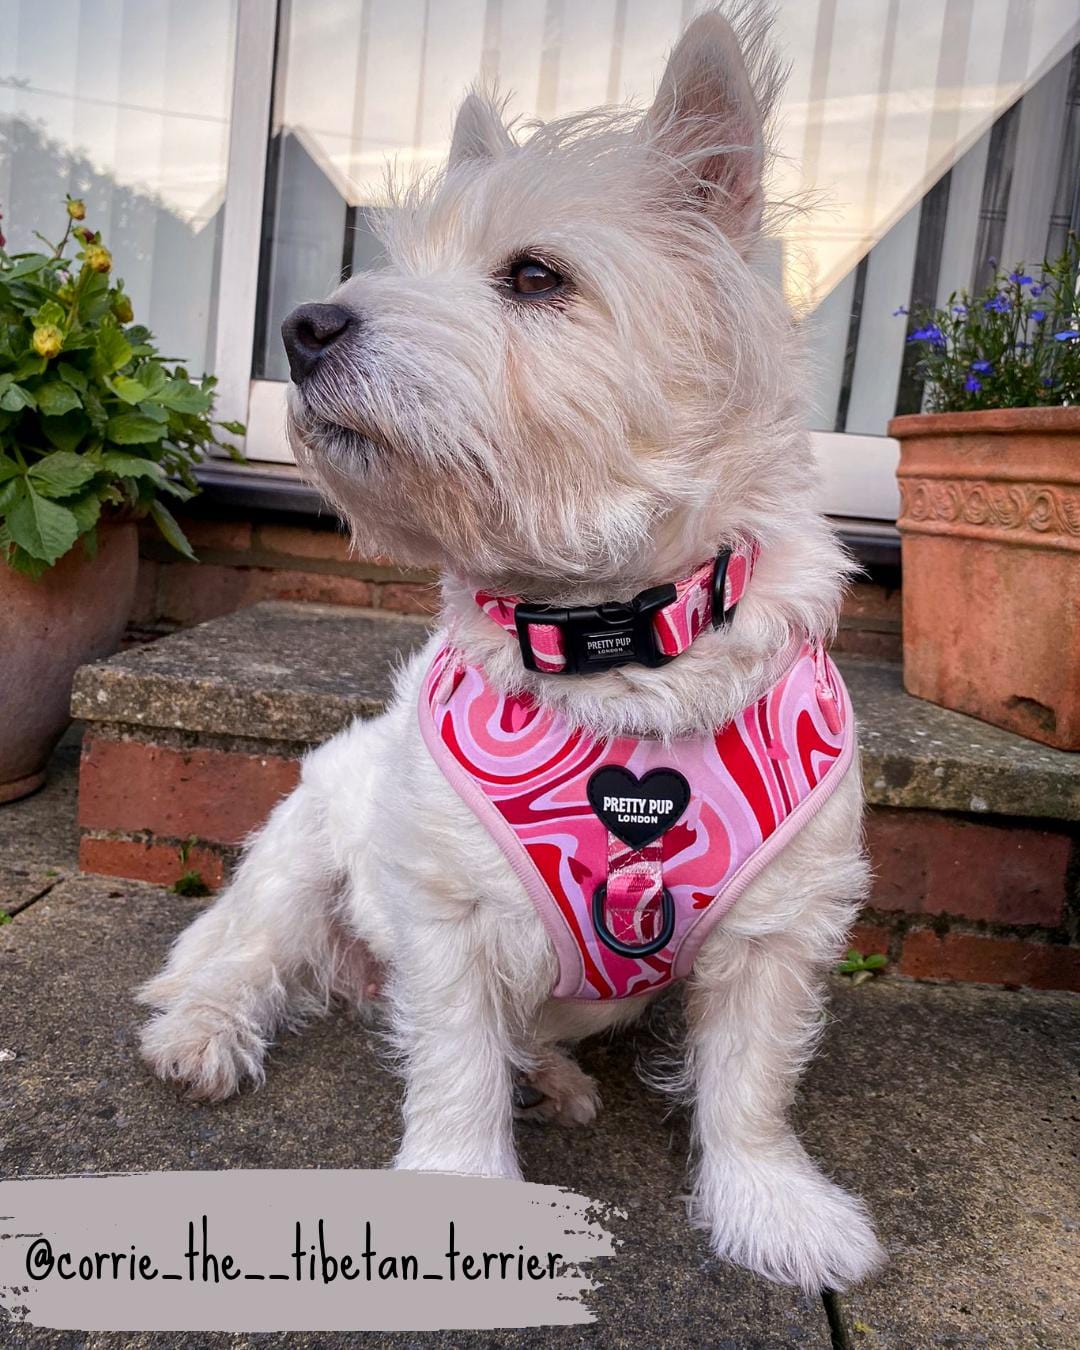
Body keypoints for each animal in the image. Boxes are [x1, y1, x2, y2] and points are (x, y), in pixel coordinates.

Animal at [139, 7, 885, 1296]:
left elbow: (752, 1083)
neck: (613, 641)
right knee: (237, 956)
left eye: (537, 276)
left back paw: (553, 1078)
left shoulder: (782, 924)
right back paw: (199, 1036)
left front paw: (777, 1213)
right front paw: (461, 1194)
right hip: (303, 853)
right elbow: (451, 1059)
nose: (304, 326)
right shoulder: (443, 911)